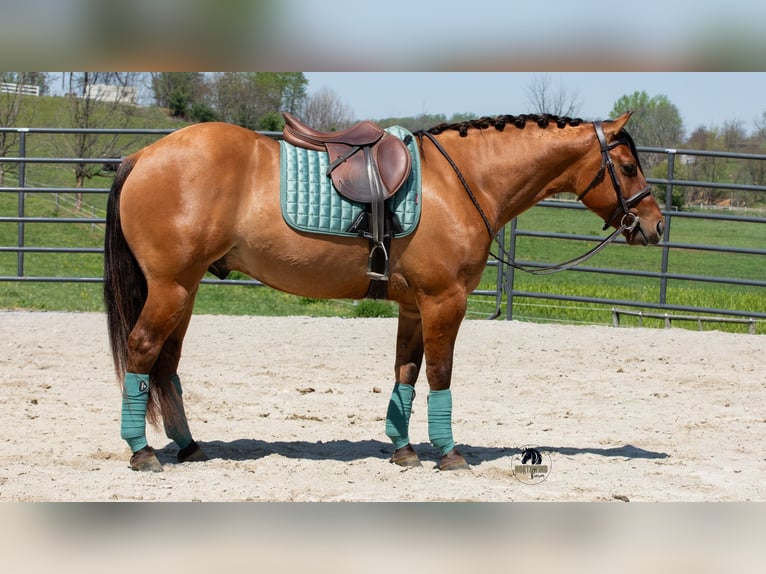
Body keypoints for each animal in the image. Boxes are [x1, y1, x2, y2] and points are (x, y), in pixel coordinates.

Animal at [103, 111, 664, 472]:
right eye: (628, 167)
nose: (656, 226)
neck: (461, 182)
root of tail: (142, 154)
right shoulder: (445, 301)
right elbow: (440, 375)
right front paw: (449, 453)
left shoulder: (415, 308)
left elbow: (406, 376)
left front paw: (403, 449)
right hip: (172, 288)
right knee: (143, 351)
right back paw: (142, 451)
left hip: (187, 289)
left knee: (166, 363)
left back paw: (189, 446)